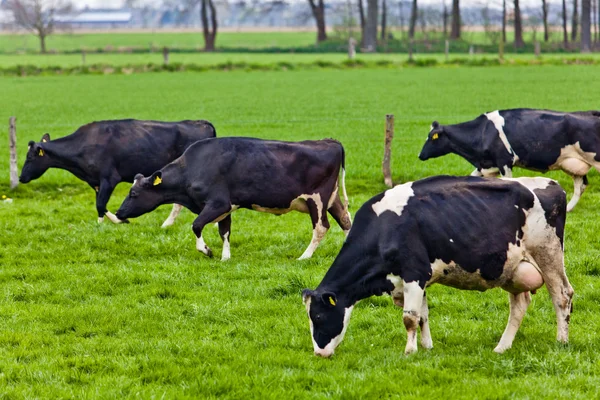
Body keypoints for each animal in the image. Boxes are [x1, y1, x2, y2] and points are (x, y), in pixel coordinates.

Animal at [18, 119, 216, 225]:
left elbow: (101, 205)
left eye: (30, 158)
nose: (20, 177)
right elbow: (98, 207)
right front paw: (100, 227)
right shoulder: (96, 182)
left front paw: (121, 220)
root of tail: (202, 123)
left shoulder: (109, 178)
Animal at [115, 136, 354, 260]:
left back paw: (304, 256)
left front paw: (207, 250)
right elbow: (225, 232)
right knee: (345, 220)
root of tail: (329, 141)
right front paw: (225, 257)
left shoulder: (217, 203)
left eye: (134, 193)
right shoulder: (226, 207)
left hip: (317, 200)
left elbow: (197, 225)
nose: (119, 212)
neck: (193, 167)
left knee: (321, 227)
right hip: (332, 200)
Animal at [302, 177, 576, 358]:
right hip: (512, 269)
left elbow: (410, 318)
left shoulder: (414, 273)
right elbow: (423, 316)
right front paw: (426, 347)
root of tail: (551, 184)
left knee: (562, 296)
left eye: (318, 316)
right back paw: (502, 347)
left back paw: (561, 341)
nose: (319, 353)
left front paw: (409, 351)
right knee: (519, 306)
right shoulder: (416, 281)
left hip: (548, 254)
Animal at [420, 108, 600, 211]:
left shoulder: (504, 161)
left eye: (432, 137)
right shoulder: (486, 165)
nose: (420, 155)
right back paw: (567, 209)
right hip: (574, 165)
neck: (483, 132)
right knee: (580, 186)